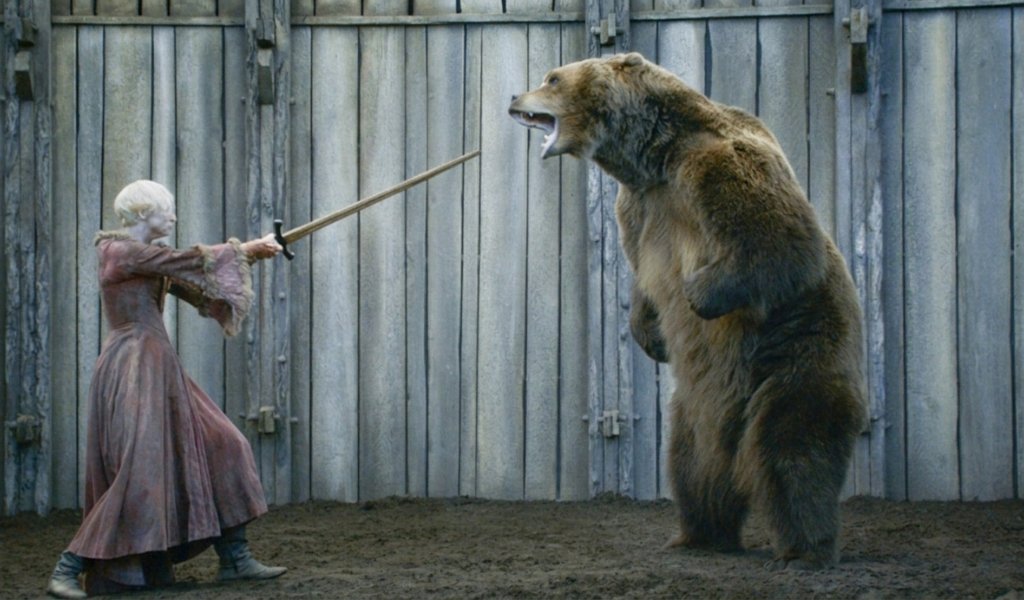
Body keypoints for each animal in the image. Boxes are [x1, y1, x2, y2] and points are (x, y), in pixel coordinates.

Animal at [509, 52, 866, 570]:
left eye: (553, 77)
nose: (514, 96)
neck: (653, 157)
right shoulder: (639, 208)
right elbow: (642, 279)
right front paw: (649, 333)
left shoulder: (718, 168)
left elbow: (785, 240)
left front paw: (698, 292)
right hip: (696, 406)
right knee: (692, 464)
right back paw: (700, 532)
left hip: (797, 348)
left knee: (793, 443)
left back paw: (804, 548)